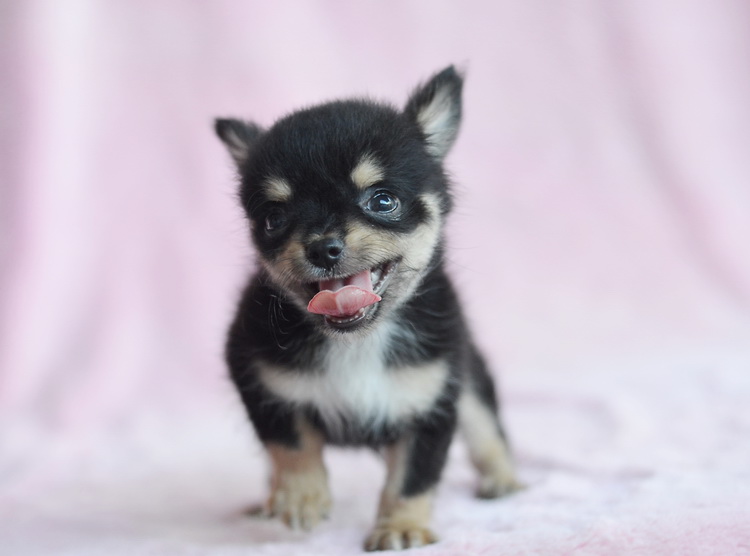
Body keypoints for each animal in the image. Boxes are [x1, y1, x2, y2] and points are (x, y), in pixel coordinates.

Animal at [215, 66, 520, 551]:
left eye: (382, 200)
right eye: (274, 219)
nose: (323, 247)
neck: (358, 340)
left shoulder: (434, 403)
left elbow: (413, 476)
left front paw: (401, 527)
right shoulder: (258, 379)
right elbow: (290, 445)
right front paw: (300, 498)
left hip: (468, 377)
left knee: (486, 428)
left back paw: (503, 479)